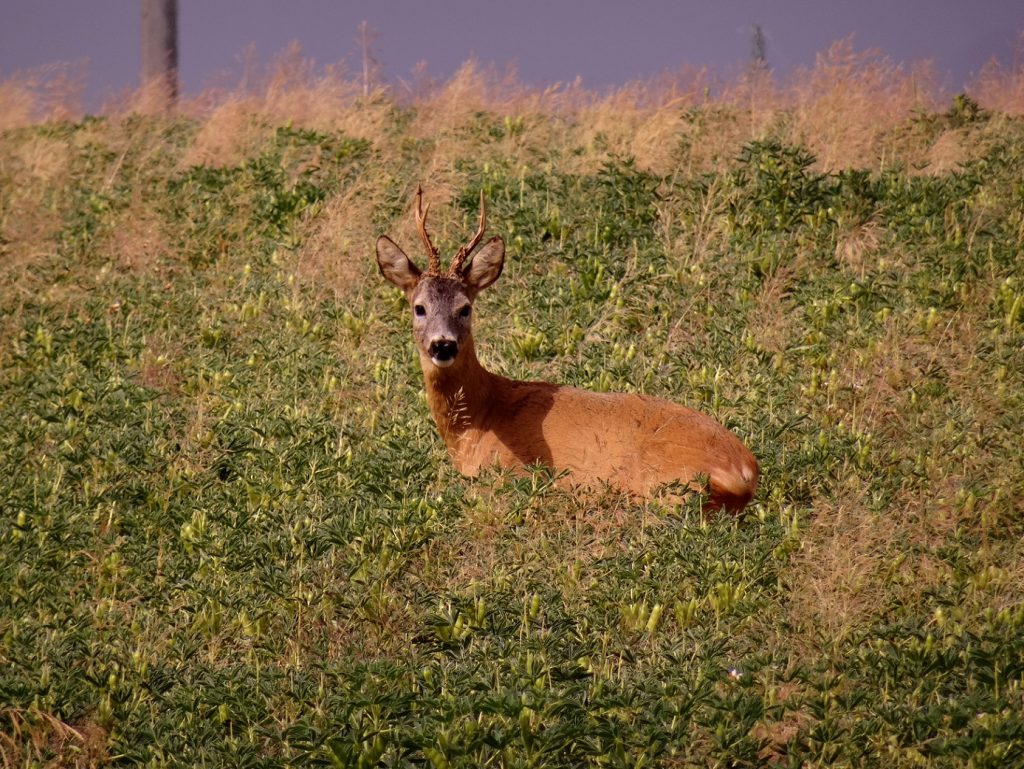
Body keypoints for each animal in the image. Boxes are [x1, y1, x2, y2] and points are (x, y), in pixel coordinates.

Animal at [376, 188, 761, 511]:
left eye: (465, 308)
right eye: (419, 308)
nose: (442, 344)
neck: (478, 423)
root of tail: (744, 468)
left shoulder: (508, 475)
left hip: (662, 486)